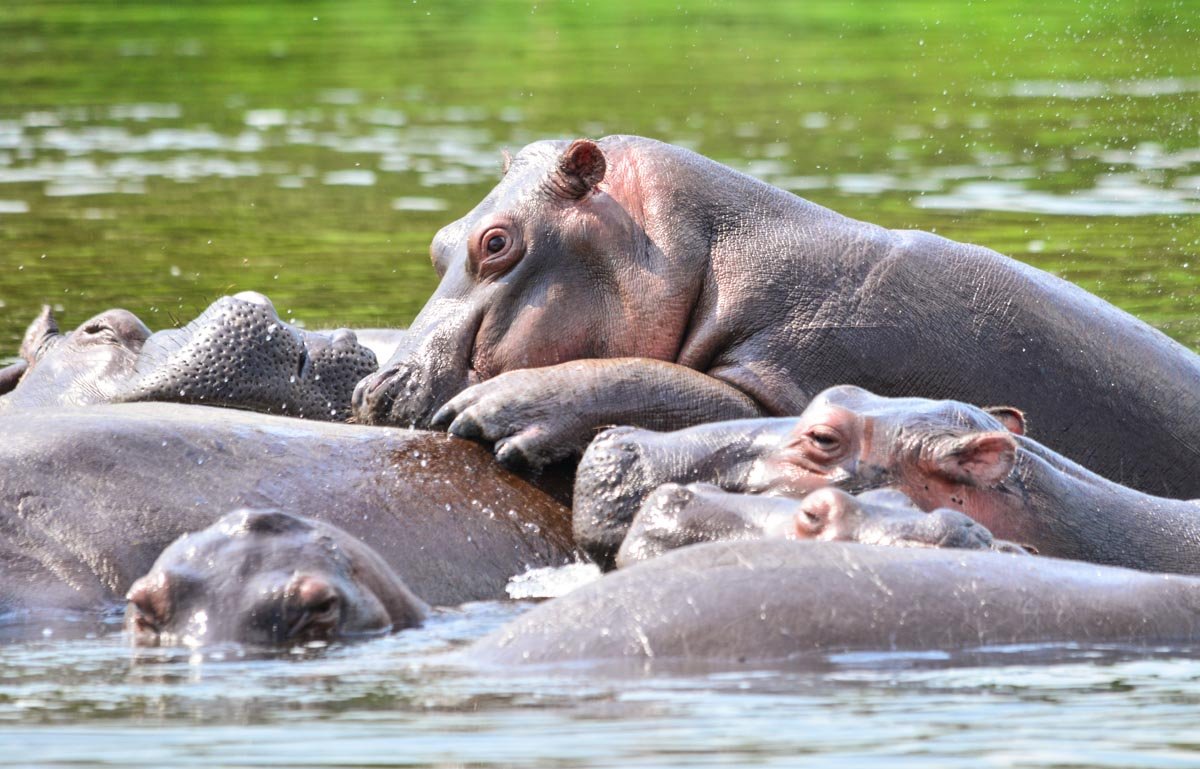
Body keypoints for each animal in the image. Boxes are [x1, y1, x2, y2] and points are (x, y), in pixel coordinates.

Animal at [351, 135, 1200, 500]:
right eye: (439, 240)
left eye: (496, 242)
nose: (374, 387)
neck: (689, 243)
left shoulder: (787, 372)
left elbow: (654, 381)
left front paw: (496, 411)